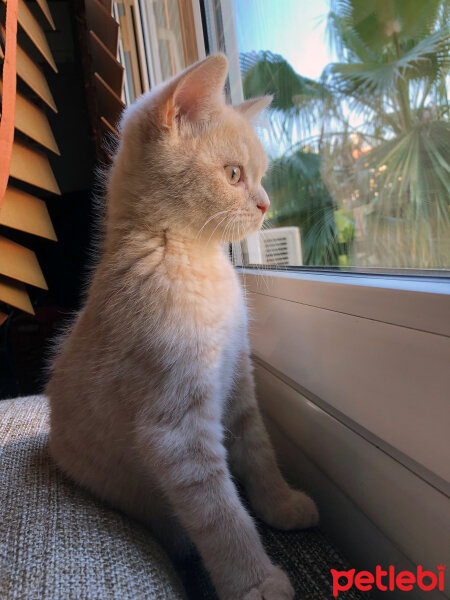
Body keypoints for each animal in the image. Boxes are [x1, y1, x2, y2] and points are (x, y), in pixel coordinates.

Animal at [47, 54, 318, 596]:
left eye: (261, 176)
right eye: (234, 174)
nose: (265, 204)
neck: (190, 257)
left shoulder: (237, 379)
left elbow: (258, 449)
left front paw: (280, 504)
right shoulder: (176, 429)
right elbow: (221, 514)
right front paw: (256, 581)